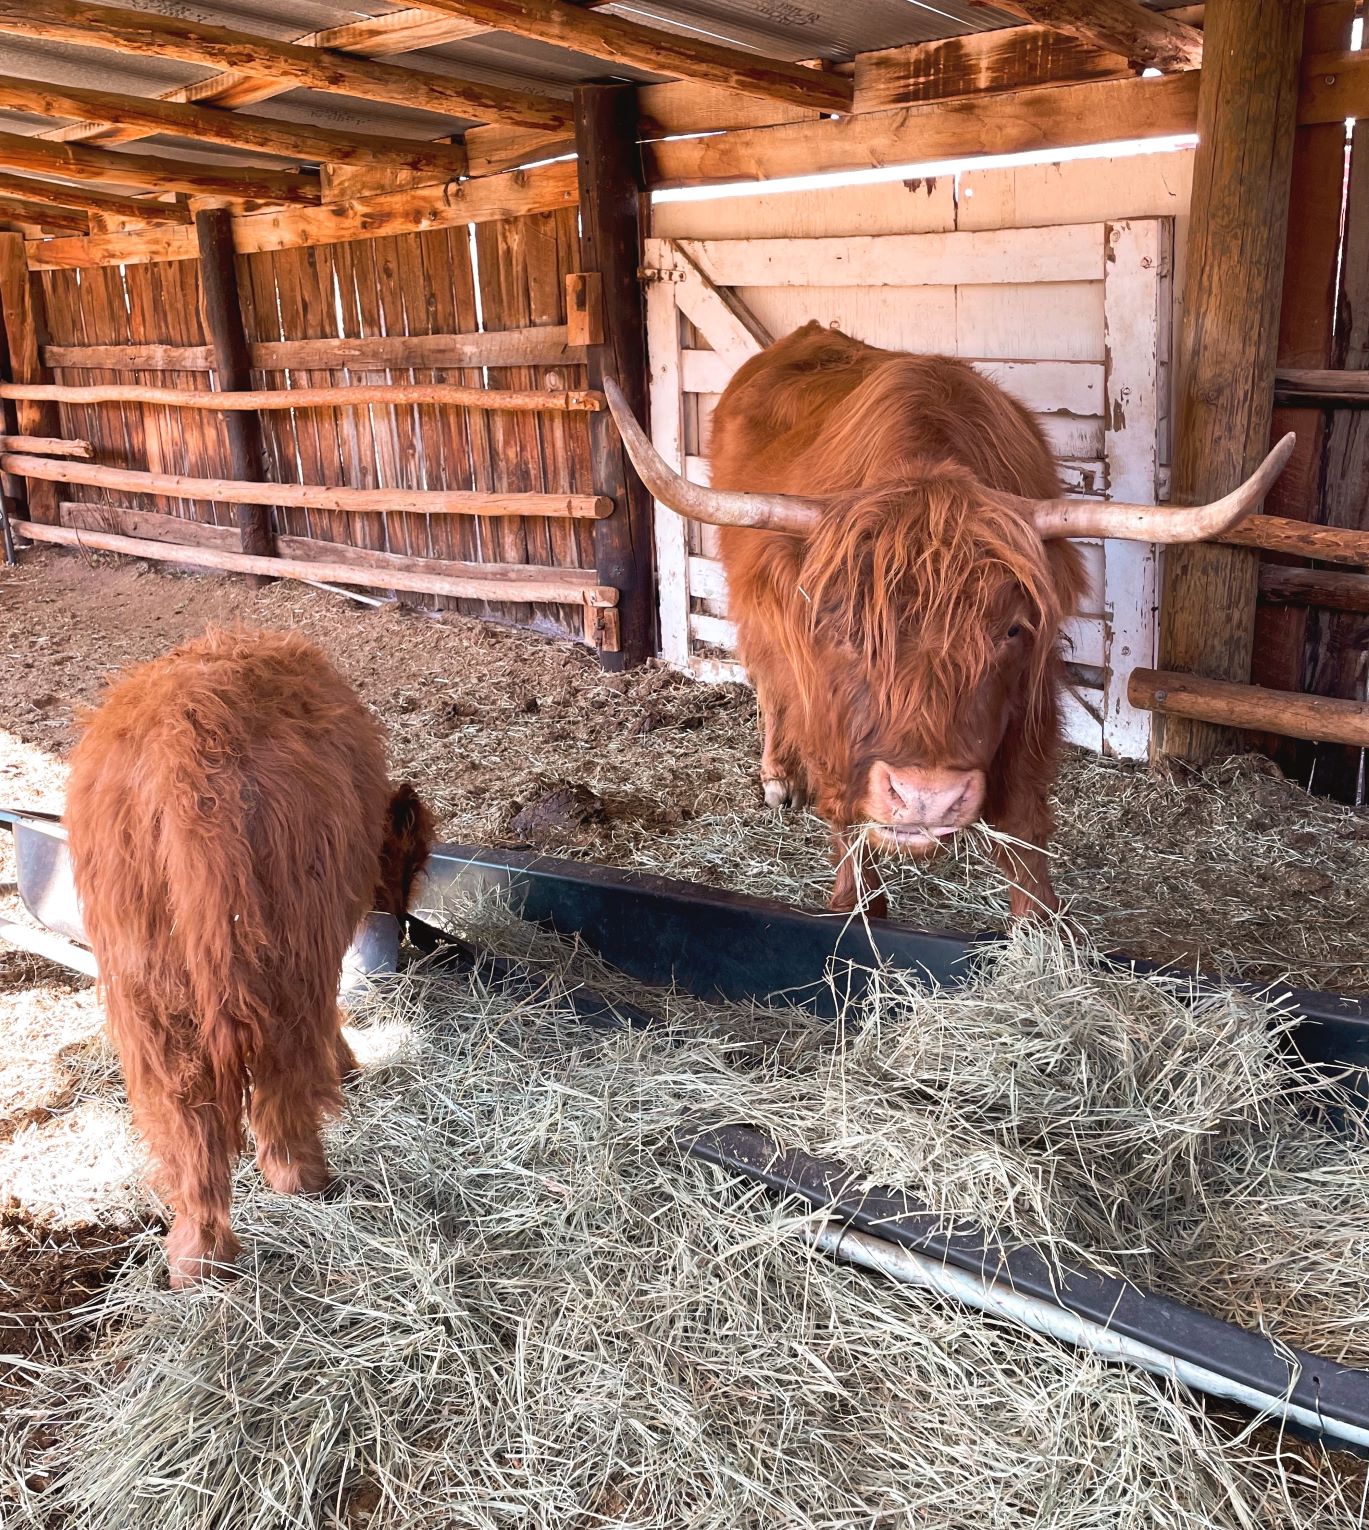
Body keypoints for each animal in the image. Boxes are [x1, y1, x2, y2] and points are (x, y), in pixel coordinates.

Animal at [65, 629, 433, 1287]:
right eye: (412, 864)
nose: (404, 924)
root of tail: (183, 737)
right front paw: (348, 1066)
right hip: (287, 952)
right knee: (284, 1070)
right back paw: (306, 1181)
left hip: (147, 978)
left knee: (185, 1109)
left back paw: (198, 1256)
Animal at [605, 323, 1293, 919]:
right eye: (847, 627)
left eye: (1011, 629)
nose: (926, 797)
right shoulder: (826, 704)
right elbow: (846, 810)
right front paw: (857, 908)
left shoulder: (1030, 700)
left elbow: (1024, 826)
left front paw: (1041, 931)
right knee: (767, 679)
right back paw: (778, 777)